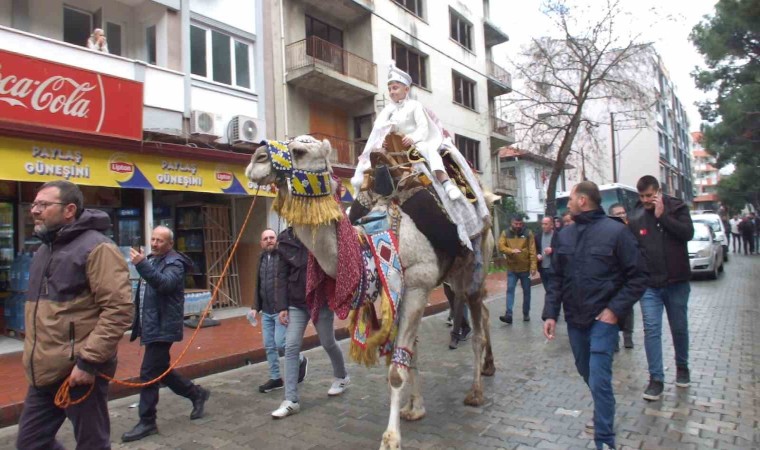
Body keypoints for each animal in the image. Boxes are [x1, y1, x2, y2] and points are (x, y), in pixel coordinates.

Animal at [246, 136, 496, 450]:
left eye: (301, 150)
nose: (256, 160)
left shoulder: (417, 284)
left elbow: (396, 370)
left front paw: (391, 438)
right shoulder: (398, 288)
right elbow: (411, 353)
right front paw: (415, 409)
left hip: (474, 265)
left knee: (477, 328)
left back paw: (476, 392)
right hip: (453, 275)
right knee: (484, 313)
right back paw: (488, 368)